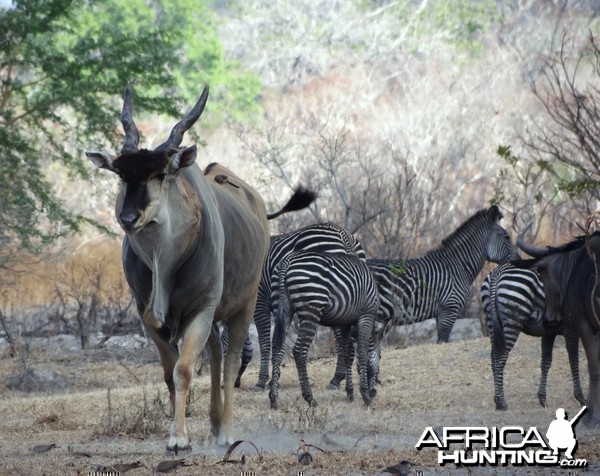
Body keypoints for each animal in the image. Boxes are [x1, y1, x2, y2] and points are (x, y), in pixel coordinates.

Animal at [239, 223, 366, 390]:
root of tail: (343, 234)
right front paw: (273, 379)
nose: (235, 383)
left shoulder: (259, 302)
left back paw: (336, 379)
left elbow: (265, 341)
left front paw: (262, 381)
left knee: (340, 337)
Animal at [268, 251, 378, 410]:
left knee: (277, 347)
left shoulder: (344, 322)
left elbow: (348, 354)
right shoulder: (366, 315)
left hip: (281, 307)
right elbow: (362, 353)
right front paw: (365, 396)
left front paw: (350, 393)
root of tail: (287, 261)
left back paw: (274, 399)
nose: (374, 392)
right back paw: (310, 399)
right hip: (311, 310)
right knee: (299, 351)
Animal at [328, 205, 516, 390]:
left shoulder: (442, 313)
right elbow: (442, 342)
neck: (457, 267)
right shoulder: (450, 309)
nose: (518, 262)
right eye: (507, 237)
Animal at [482, 262, 584, 410]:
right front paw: (581, 397)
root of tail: (498, 271)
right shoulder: (571, 328)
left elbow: (546, 362)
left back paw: (496, 399)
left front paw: (542, 399)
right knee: (500, 357)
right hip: (512, 320)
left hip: (492, 321)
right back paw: (501, 403)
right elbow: (574, 361)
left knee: (493, 356)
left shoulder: (549, 332)